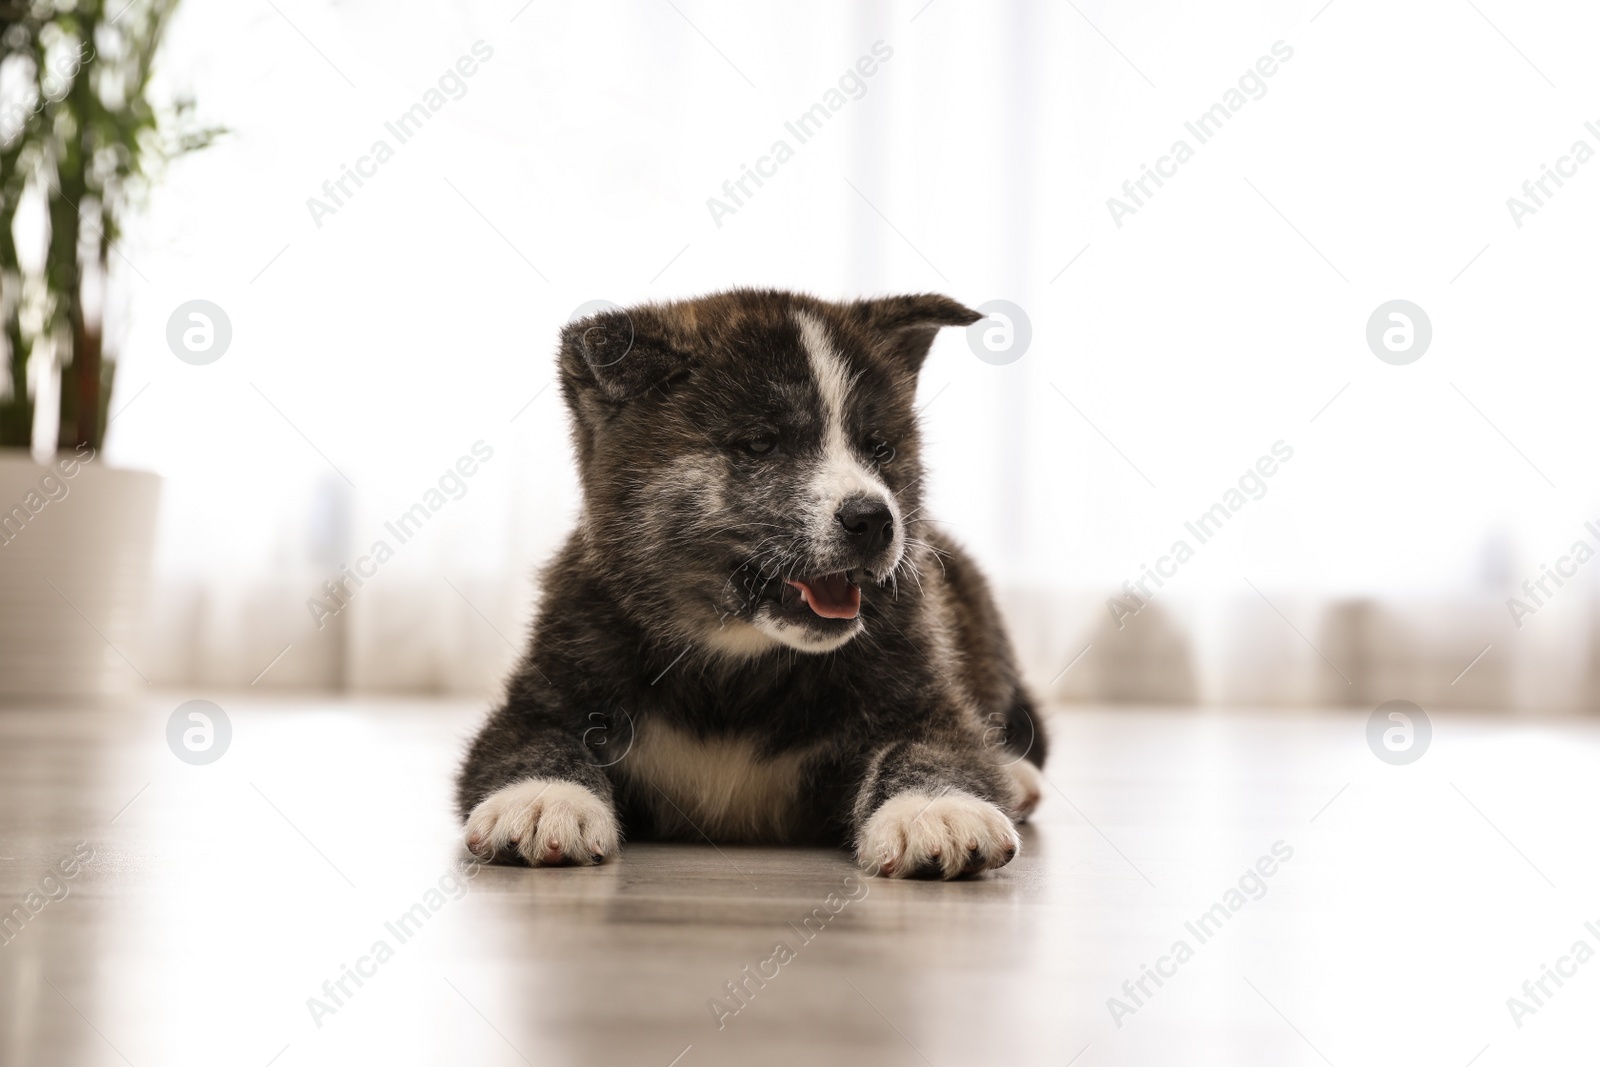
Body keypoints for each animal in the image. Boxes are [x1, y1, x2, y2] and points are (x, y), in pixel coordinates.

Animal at [457, 287, 1043, 883]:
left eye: (879, 448)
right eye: (762, 444)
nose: (875, 520)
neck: (734, 672)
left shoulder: (920, 698)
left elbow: (934, 748)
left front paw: (939, 809)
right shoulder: (541, 693)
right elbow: (537, 742)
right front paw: (542, 799)